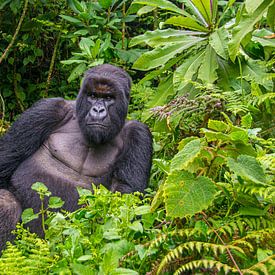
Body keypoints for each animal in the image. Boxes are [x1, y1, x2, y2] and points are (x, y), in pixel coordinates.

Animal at [0, 64, 153, 250]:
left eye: (108, 98)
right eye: (93, 96)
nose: (98, 110)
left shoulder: (138, 134)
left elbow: (124, 201)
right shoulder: (48, 109)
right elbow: (5, 160)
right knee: (6, 201)